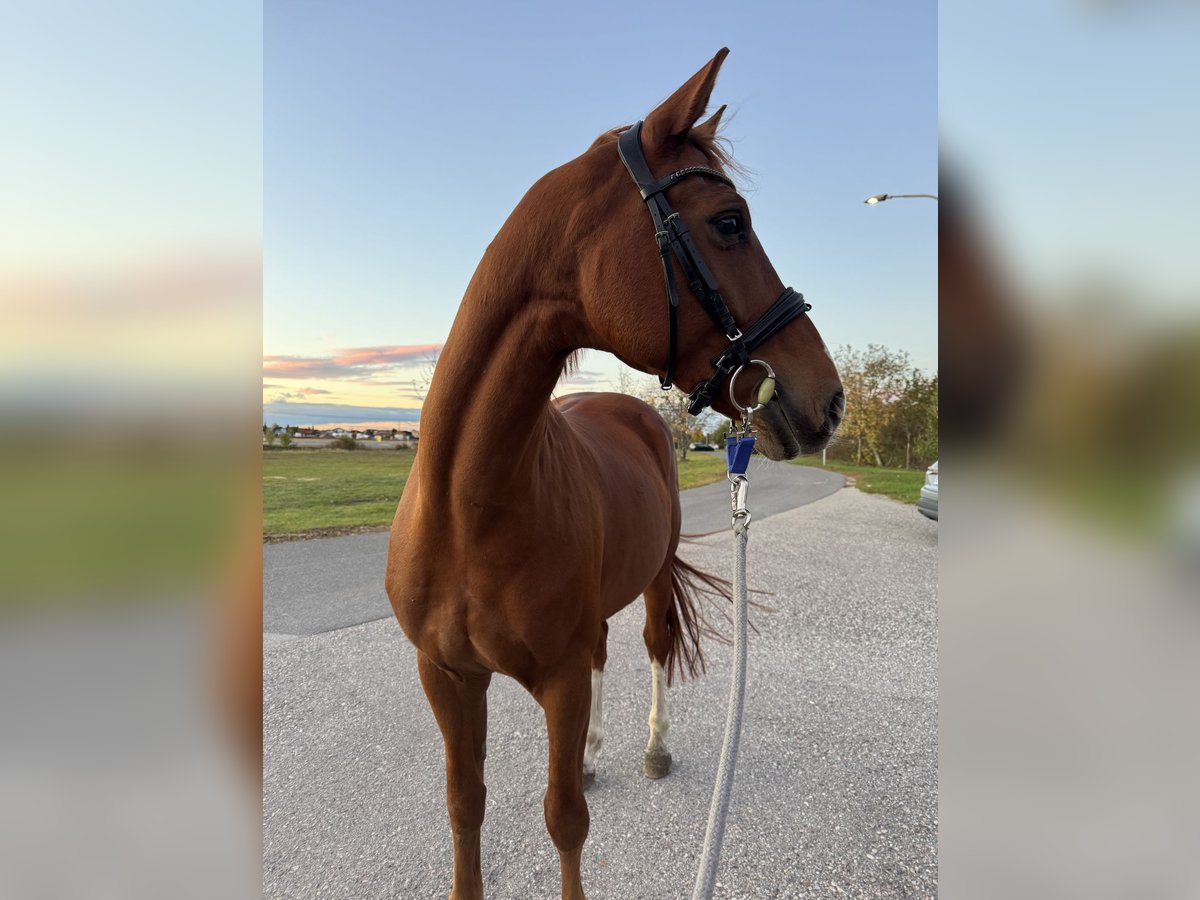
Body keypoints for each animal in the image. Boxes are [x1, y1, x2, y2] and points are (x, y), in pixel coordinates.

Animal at [385, 48, 844, 900]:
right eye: (728, 223)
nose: (828, 398)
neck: (469, 506)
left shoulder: (557, 681)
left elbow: (565, 819)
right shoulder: (448, 676)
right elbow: (466, 805)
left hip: (656, 576)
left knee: (654, 647)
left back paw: (652, 748)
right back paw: (597, 751)